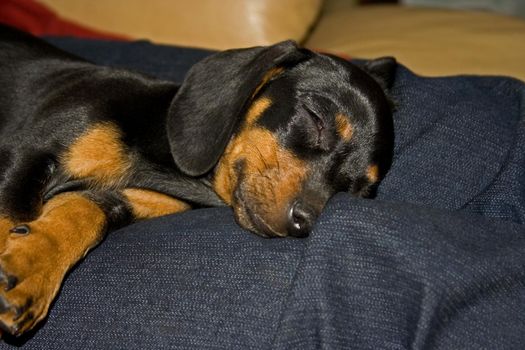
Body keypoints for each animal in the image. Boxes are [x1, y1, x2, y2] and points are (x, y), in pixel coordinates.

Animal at [0, 24, 392, 336]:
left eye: (359, 191)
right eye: (315, 117)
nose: (304, 224)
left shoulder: (130, 199)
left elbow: (83, 214)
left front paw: (31, 269)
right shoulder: (25, 153)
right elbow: (13, 212)